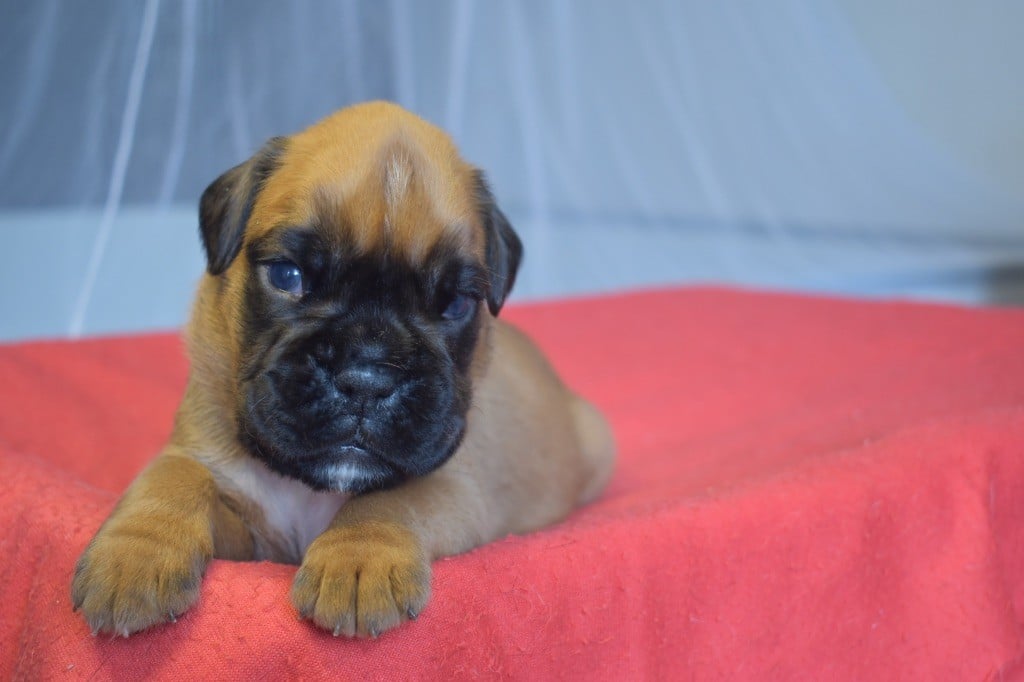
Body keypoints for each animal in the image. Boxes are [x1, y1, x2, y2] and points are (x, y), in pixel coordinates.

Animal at [71, 101, 614, 638]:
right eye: (287, 275)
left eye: (456, 304)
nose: (368, 379)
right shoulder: (243, 527)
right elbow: (174, 476)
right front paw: (135, 554)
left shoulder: (453, 487)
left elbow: (391, 496)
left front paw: (358, 559)